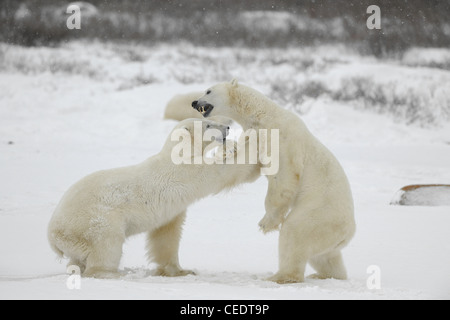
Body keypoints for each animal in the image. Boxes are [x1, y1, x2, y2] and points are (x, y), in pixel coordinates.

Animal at [48, 117, 260, 278]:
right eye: (207, 125)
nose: (227, 128)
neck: (177, 154)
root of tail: (53, 236)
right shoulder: (186, 172)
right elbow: (222, 172)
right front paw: (247, 143)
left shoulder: (172, 211)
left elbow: (166, 235)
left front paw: (181, 271)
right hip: (93, 221)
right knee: (107, 243)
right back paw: (112, 273)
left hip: (75, 240)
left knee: (78, 258)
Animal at [192, 79, 356, 282]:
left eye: (208, 91)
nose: (194, 102)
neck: (264, 116)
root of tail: (349, 233)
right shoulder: (256, 135)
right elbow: (249, 169)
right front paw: (226, 151)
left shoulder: (282, 139)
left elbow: (283, 176)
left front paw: (266, 223)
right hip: (329, 235)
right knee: (325, 256)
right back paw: (325, 275)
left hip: (320, 213)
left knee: (295, 233)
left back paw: (280, 276)